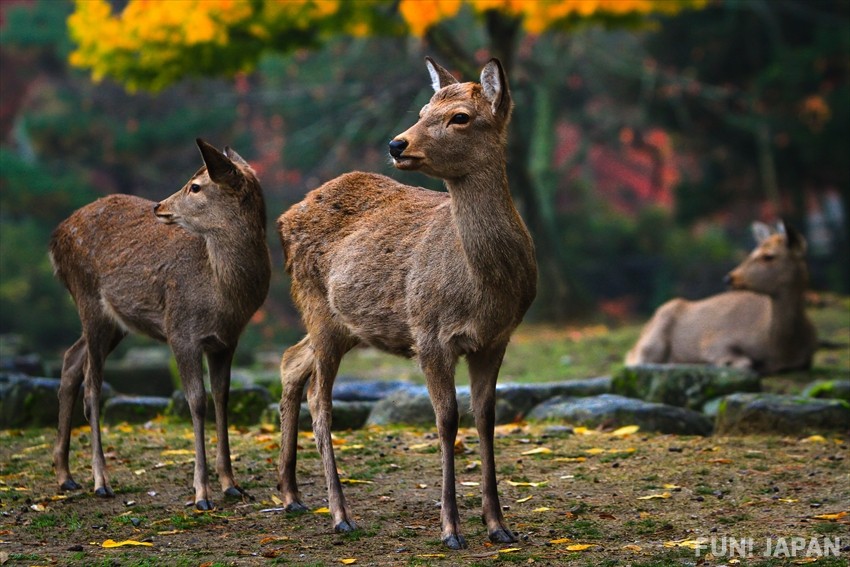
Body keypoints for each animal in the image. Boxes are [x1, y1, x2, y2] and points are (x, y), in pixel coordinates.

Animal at [49, 139, 268, 510]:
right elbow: (197, 401)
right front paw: (201, 494)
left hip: (115, 322)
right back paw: (100, 481)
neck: (223, 293)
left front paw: (231, 484)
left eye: (196, 186)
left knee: (71, 359)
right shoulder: (180, 331)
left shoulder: (226, 341)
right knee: (92, 386)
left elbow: (222, 397)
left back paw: (66, 476)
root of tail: (54, 238)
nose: (159, 206)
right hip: (88, 299)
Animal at [274, 57, 532, 552]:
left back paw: (292, 495)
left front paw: (499, 525)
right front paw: (451, 530)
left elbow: (486, 419)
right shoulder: (429, 334)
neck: (483, 289)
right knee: (320, 397)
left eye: (460, 117)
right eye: (423, 109)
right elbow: (447, 421)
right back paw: (340, 515)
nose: (397, 143)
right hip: (316, 307)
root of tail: (282, 217)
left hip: (343, 324)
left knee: (291, 361)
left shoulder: (496, 339)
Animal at [624, 223, 816, 378]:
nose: (729, 278)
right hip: (653, 339)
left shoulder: (805, 360)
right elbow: (743, 362)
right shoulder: (715, 341)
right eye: (753, 251)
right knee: (634, 360)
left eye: (768, 256)